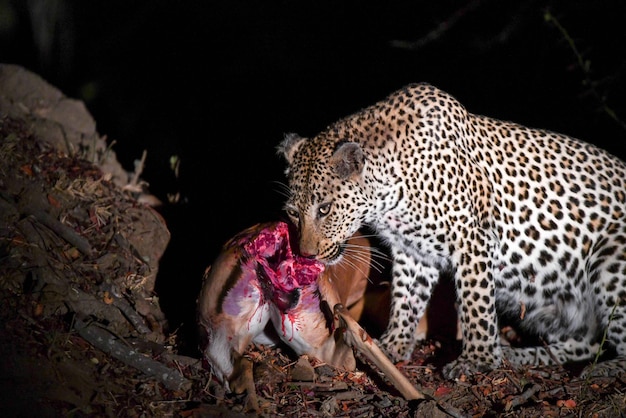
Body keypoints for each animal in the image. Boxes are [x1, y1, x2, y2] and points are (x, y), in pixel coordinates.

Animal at [276, 81, 624, 378]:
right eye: (292, 213)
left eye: (324, 209)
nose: (306, 254)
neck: (388, 197)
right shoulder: (413, 251)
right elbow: (405, 298)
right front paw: (393, 346)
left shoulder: (471, 240)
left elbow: (476, 305)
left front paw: (478, 360)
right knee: (587, 342)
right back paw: (520, 355)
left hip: (609, 259)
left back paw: (601, 369)